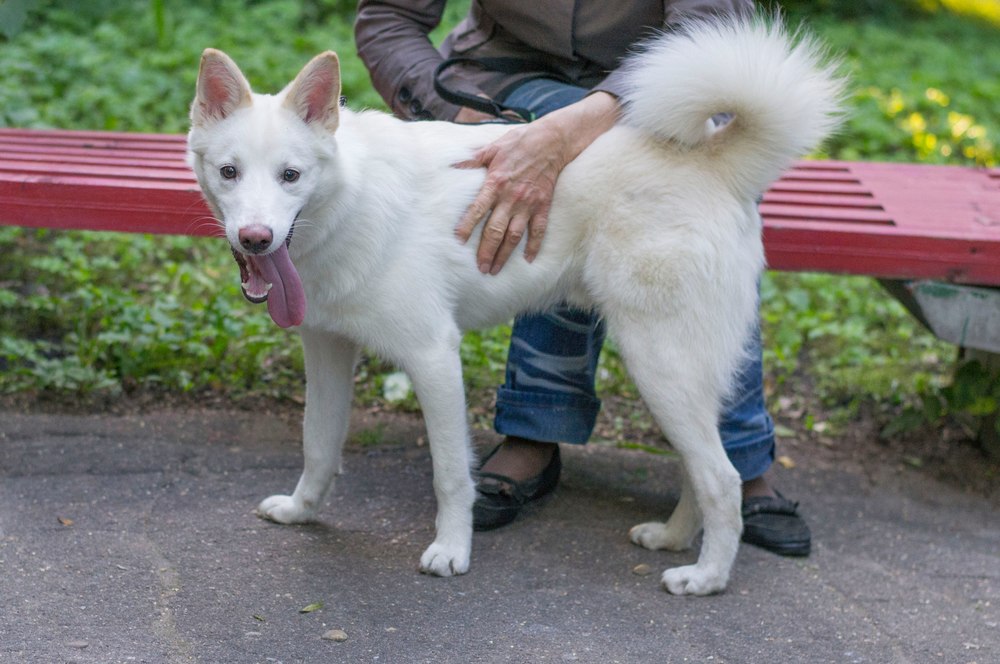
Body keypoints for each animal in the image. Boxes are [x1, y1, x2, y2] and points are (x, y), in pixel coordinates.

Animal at [189, 16, 844, 596]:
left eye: (291, 175)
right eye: (229, 172)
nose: (255, 239)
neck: (351, 199)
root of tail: (715, 160)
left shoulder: (433, 357)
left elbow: (451, 474)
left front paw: (452, 551)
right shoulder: (326, 351)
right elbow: (318, 445)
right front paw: (301, 511)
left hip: (661, 364)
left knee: (724, 478)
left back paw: (706, 578)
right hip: (675, 375)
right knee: (699, 468)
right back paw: (674, 538)